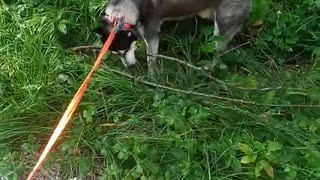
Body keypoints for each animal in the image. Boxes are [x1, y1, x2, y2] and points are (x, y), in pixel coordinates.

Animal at [94, 0, 251, 76]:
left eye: (125, 51)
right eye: (117, 54)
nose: (129, 67)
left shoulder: (152, 33)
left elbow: (151, 59)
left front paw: (152, 79)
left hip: (221, 27)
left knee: (219, 54)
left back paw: (209, 69)